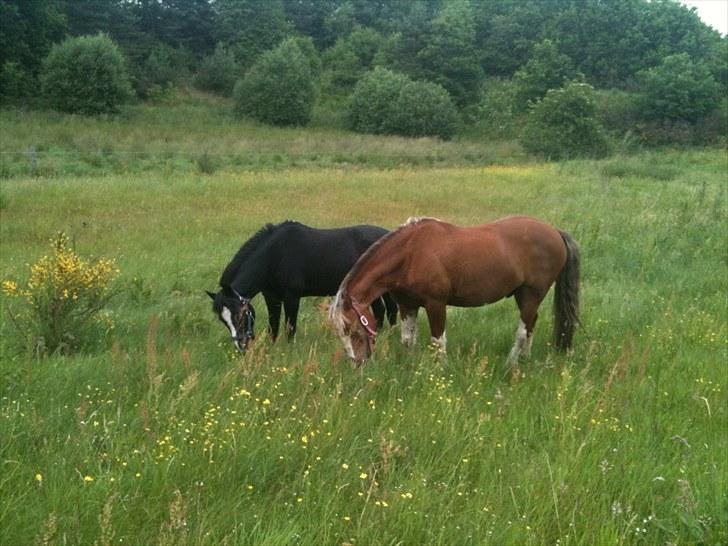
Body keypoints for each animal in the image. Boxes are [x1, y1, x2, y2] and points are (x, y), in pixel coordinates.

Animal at [205, 220, 398, 350]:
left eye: (239, 315)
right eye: (223, 320)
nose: (242, 346)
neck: (274, 256)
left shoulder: (292, 296)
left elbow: (290, 327)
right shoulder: (272, 298)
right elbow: (273, 327)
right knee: (381, 310)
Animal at [330, 215, 580, 364]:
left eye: (352, 329)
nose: (357, 363)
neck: (410, 253)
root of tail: (555, 232)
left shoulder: (436, 304)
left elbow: (438, 342)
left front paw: (439, 373)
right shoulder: (407, 305)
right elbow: (408, 339)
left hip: (532, 294)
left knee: (522, 330)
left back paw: (511, 363)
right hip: (523, 295)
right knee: (531, 325)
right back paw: (525, 358)